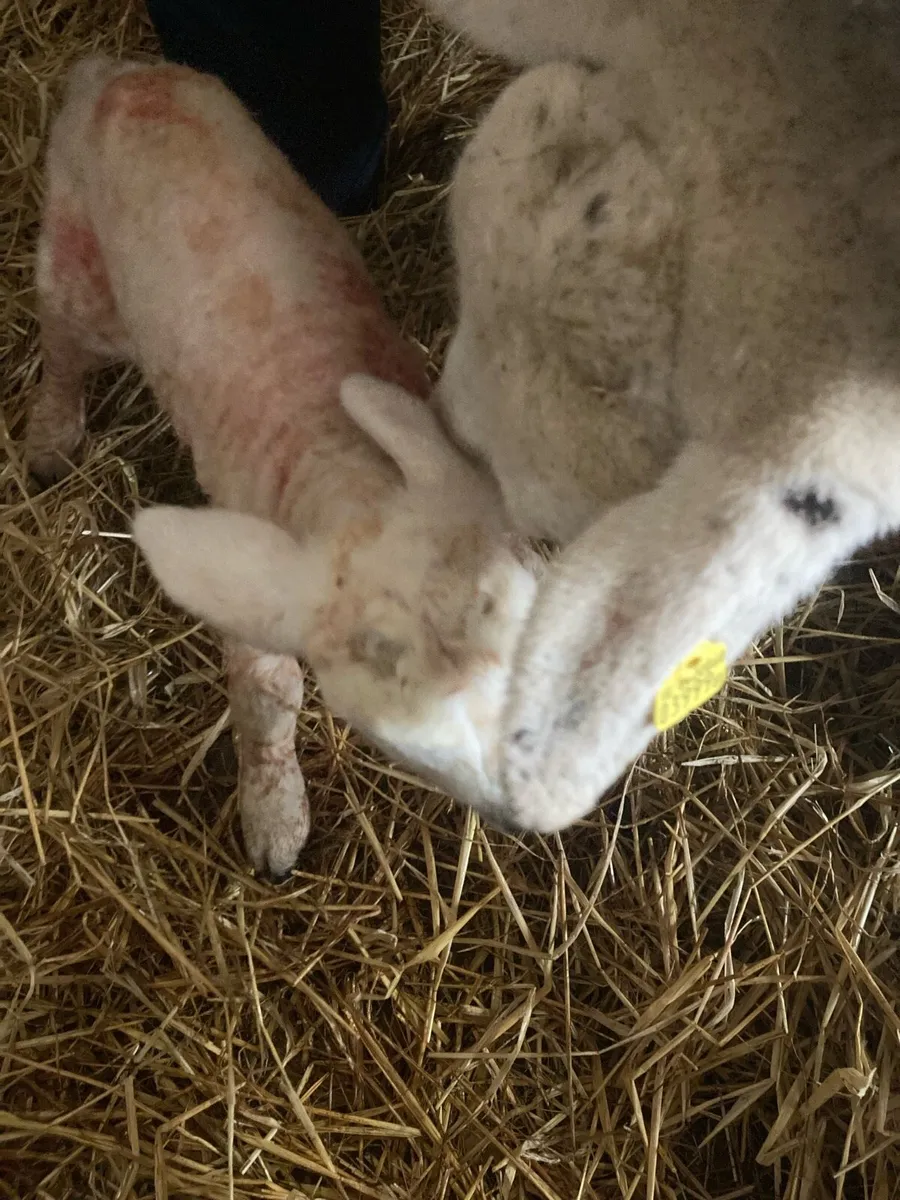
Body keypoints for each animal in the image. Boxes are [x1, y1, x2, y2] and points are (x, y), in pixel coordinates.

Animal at [25, 54, 538, 878]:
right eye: (400, 734)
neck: (349, 473)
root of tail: (116, 72)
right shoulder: (261, 598)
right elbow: (266, 700)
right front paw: (274, 821)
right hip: (75, 244)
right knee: (62, 336)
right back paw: (49, 434)